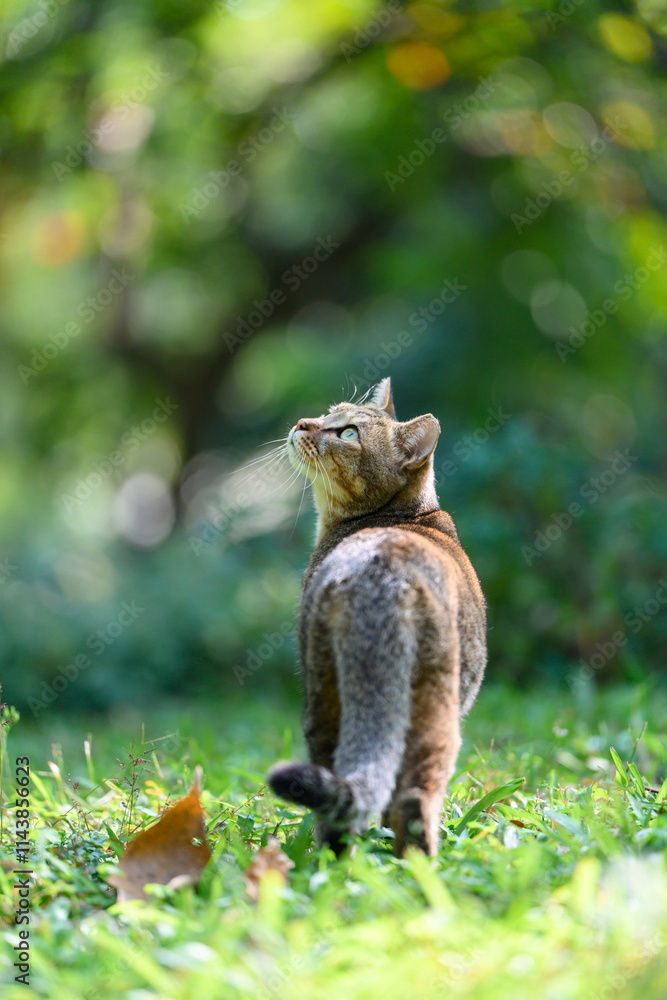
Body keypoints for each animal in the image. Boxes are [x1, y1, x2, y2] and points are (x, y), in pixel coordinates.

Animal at [267, 377, 486, 856]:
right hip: (434, 712)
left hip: (323, 695)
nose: (303, 422)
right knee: (413, 796)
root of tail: (378, 575)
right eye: (329, 413)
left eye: (348, 432)